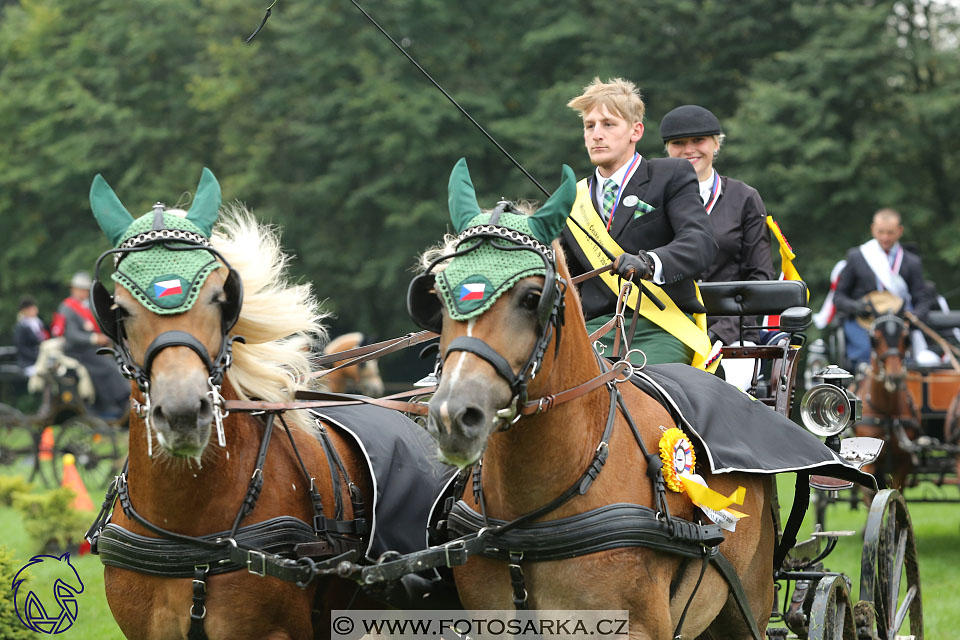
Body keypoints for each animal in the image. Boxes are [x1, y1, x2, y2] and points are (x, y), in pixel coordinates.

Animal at [852, 310, 920, 490]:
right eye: (874, 339)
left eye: (906, 338)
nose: (894, 377)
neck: (887, 413)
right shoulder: (867, 463)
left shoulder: (903, 464)